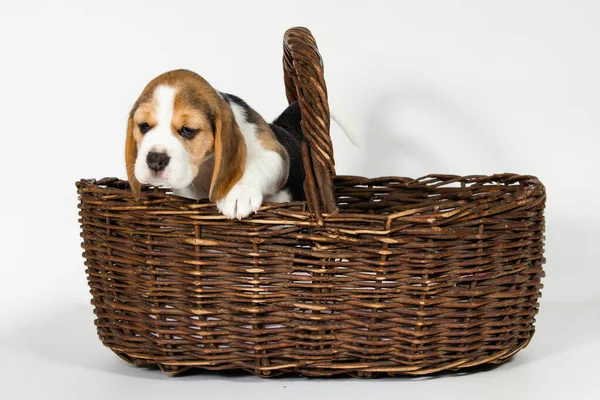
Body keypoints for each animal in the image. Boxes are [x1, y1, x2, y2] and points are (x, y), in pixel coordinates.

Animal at [126, 69, 304, 219]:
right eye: (144, 126)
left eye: (187, 130)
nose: (155, 159)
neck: (206, 166)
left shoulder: (275, 154)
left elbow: (259, 163)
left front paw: (239, 193)